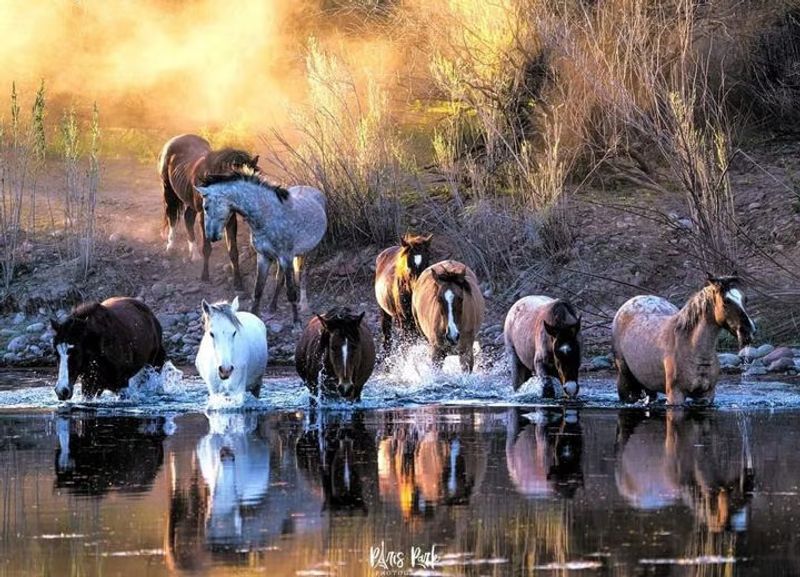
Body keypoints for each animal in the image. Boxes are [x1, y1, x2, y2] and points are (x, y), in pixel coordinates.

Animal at [158, 133, 260, 288]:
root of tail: (176, 139)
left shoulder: (230, 218)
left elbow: (233, 250)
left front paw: (238, 282)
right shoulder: (204, 216)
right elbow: (207, 247)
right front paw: (204, 276)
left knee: (188, 218)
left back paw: (194, 255)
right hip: (169, 191)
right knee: (172, 218)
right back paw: (170, 248)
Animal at [195, 166, 327, 325]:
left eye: (206, 207)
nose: (211, 236)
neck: (267, 215)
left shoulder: (287, 257)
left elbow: (290, 291)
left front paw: (296, 322)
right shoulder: (264, 257)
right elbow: (258, 290)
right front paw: (254, 317)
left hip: (307, 252)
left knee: (301, 276)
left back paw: (304, 305)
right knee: (279, 278)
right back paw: (272, 307)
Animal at [612, 275, 756, 405]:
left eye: (745, 299)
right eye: (726, 301)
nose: (748, 331)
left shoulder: (706, 396)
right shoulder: (675, 395)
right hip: (625, 379)